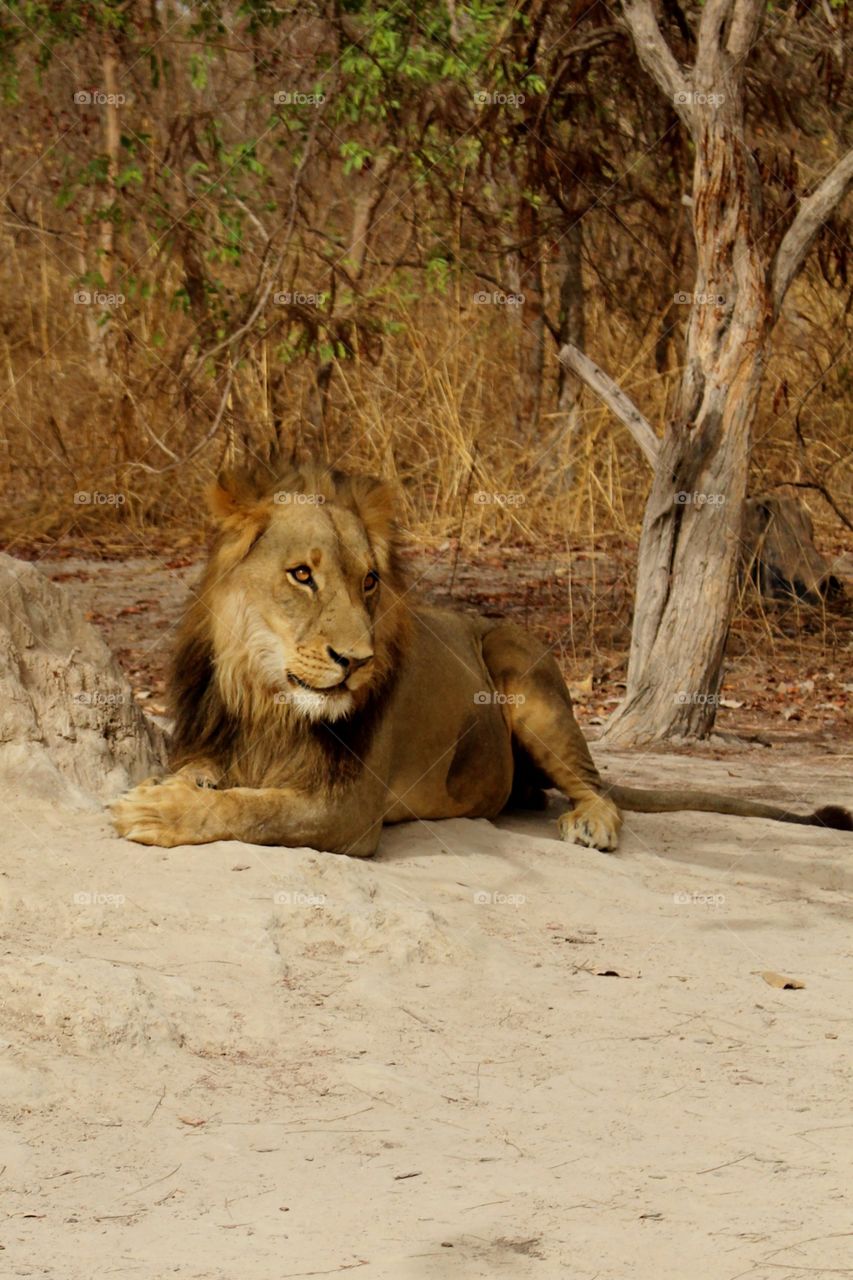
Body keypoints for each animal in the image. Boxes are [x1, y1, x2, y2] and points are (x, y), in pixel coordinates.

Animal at [112, 455, 850, 855]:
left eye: (370, 581)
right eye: (302, 575)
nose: (357, 660)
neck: (267, 698)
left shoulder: (348, 809)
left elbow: (254, 809)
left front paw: (155, 814)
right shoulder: (213, 739)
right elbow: (204, 776)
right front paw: (164, 791)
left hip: (526, 678)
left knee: (599, 785)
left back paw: (591, 823)